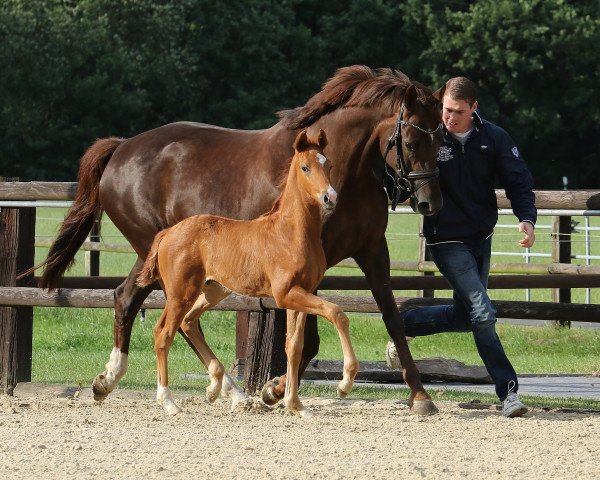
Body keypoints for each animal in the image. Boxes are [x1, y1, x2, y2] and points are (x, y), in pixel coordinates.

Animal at [138, 128, 358, 416]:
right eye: (305, 167)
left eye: (328, 164)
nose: (329, 198)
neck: (292, 233)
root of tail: (167, 233)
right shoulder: (286, 294)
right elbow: (337, 313)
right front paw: (345, 383)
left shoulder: (301, 293)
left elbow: (294, 345)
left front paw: (296, 405)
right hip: (180, 292)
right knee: (164, 333)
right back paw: (169, 401)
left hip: (212, 291)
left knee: (188, 322)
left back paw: (214, 388)